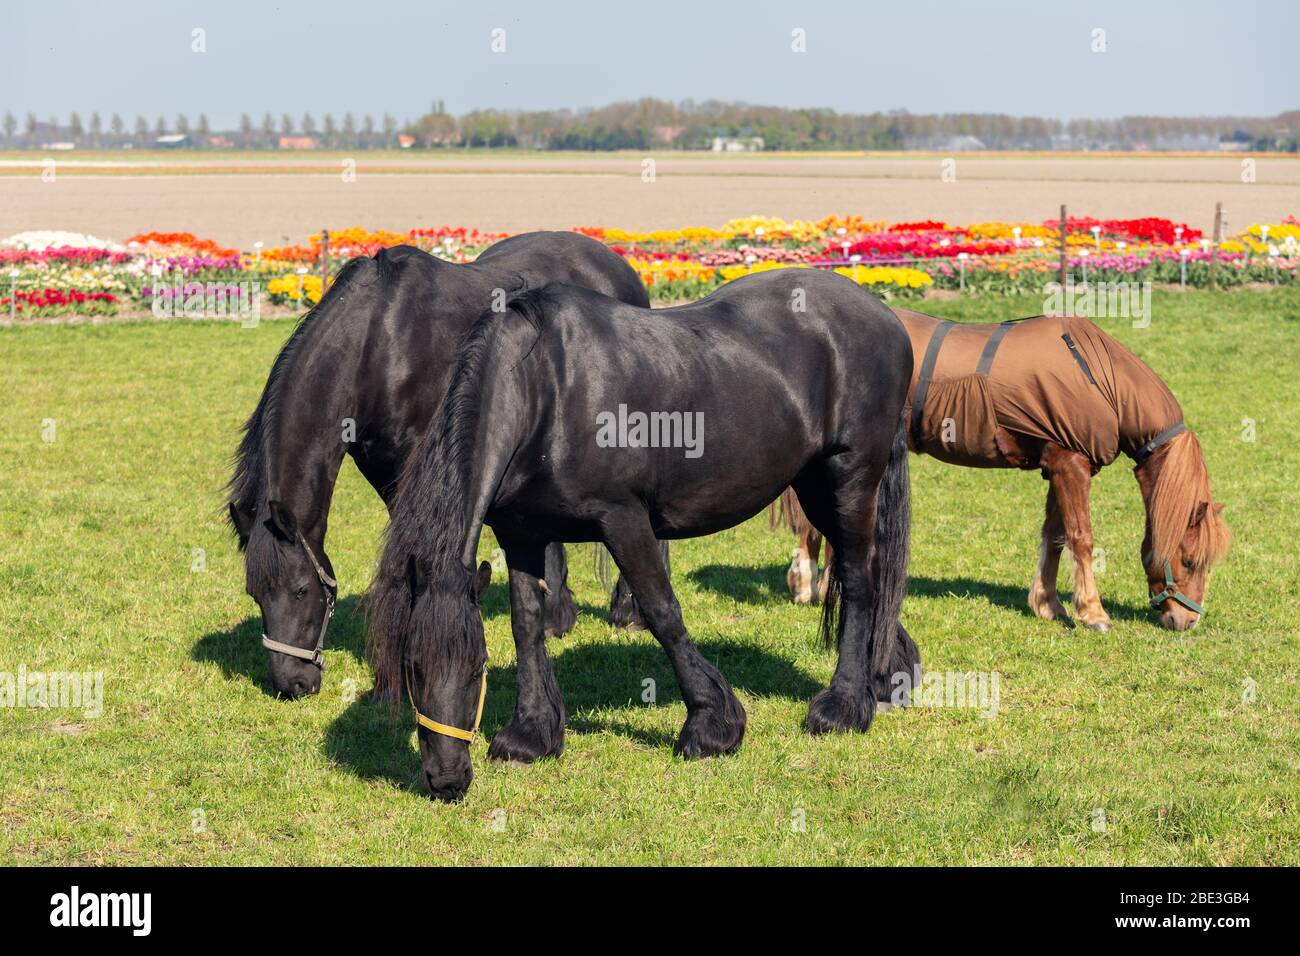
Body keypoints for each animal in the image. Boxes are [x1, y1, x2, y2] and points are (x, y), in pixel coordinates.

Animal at [226, 231, 650, 697]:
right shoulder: (380, 467)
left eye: (301, 590)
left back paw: (629, 611)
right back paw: (558, 615)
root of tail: (618, 264)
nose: (292, 684)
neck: (377, 341)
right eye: (254, 594)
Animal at [366, 270, 915, 806]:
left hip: (849, 478)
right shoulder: (520, 533)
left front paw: (712, 726)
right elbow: (527, 623)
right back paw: (886, 677)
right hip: (815, 484)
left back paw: (843, 707)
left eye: (476, 666)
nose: (446, 780)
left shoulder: (622, 518)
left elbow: (662, 612)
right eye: (411, 668)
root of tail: (887, 319)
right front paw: (531, 734)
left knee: (858, 581)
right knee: (871, 577)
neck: (543, 389)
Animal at [774, 310, 1232, 632]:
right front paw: (1093, 613)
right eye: (1189, 560)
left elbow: (1055, 536)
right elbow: (1081, 538)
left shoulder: (1057, 464)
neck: (1099, 379)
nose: (1187, 621)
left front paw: (1048, 604)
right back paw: (807, 581)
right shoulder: (1071, 466)